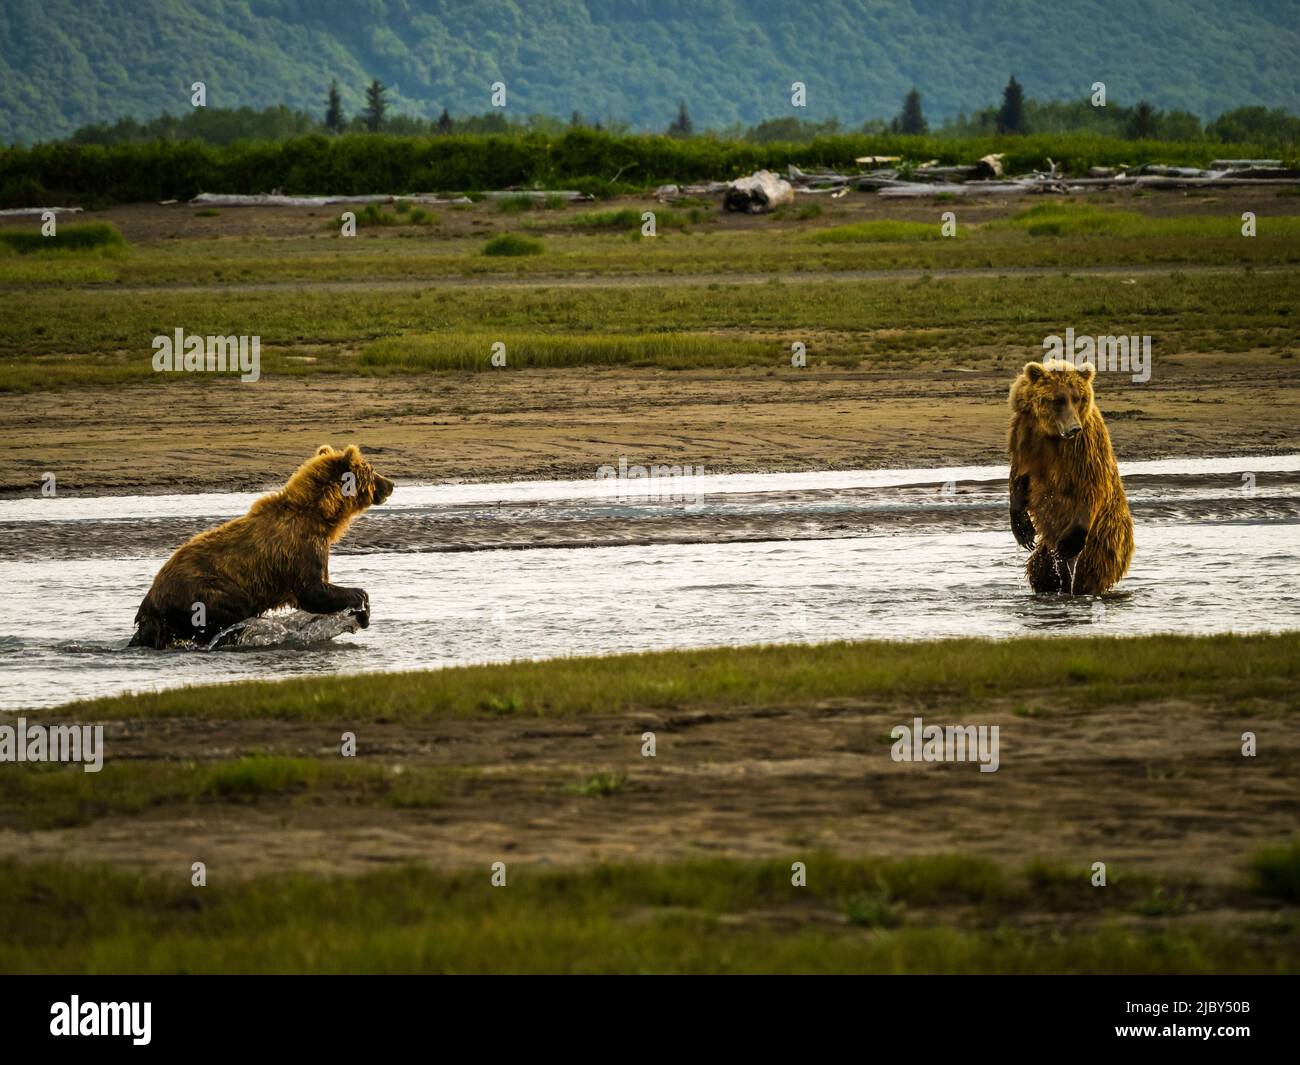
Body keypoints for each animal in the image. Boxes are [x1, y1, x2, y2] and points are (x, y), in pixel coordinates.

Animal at [132, 444, 397, 650]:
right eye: (372, 469)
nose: (392, 483)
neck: (321, 515)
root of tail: (151, 602)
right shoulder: (300, 549)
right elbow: (314, 591)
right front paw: (361, 607)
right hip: (207, 593)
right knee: (227, 618)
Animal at [1003, 361, 1128, 595]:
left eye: (1077, 397)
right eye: (1057, 399)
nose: (1074, 427)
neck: (1050, 434)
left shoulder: (1084, 449)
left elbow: (1090, 487)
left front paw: (1069, 545)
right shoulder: (1024, 437)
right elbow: (1019, 477)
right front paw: (1023, 530)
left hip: (1103, 540)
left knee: (1087, 571)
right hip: (1048, 547)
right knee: (1042, 569)